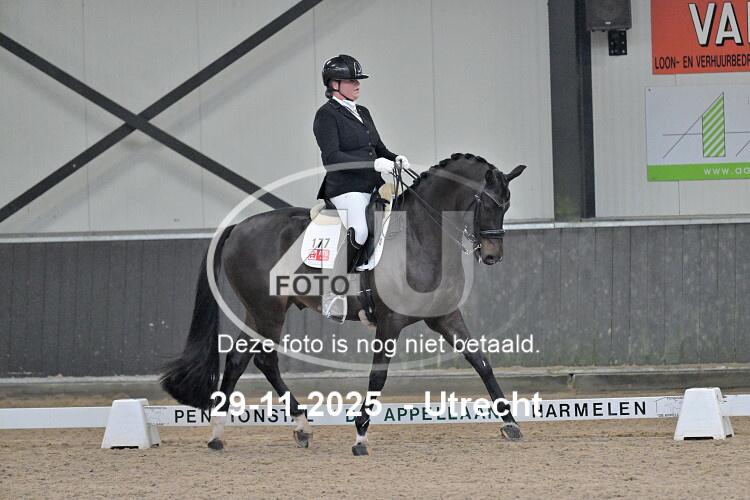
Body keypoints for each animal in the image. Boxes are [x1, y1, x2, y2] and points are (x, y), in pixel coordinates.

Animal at [160, 152, 526, 455]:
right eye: (489, 204)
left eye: (506, 206)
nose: (492, 256)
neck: (420, 238)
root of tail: (238, 227)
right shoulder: (389, 323)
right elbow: (378, 378)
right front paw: (360, 436)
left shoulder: (444, 316)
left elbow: (481, 361)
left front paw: (510, 423)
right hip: (268, 311)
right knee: (263, 360)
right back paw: (278, 427)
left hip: (258, 311)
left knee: (241, 360)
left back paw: (233, 433)